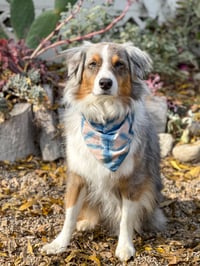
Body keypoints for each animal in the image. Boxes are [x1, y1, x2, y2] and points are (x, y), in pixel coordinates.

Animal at [41, 42, 165, 262]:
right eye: (92, 64)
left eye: (119, 65)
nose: (105, 83)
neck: (105, 120)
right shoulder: (78, 175)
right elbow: (70, 213)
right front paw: (59, 244)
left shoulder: (132, 181)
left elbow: (126, 218)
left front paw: (125, 247)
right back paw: (86, 223)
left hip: (149, 189)